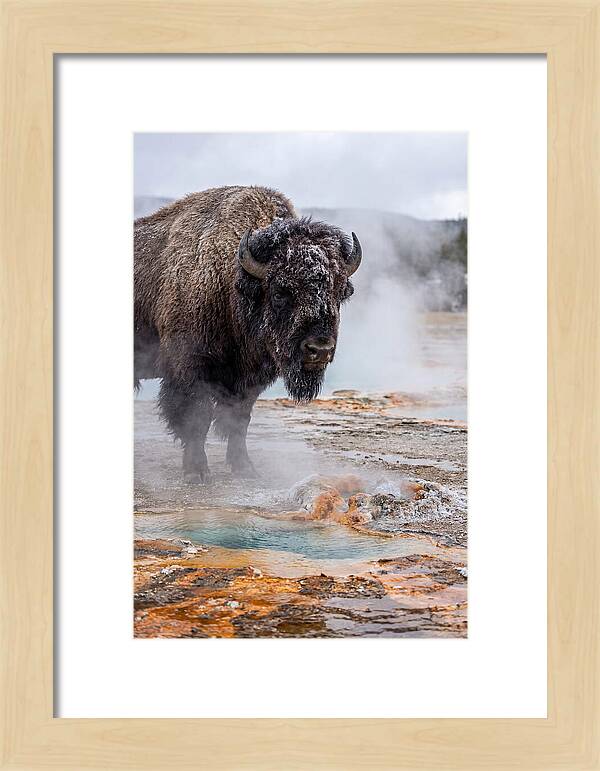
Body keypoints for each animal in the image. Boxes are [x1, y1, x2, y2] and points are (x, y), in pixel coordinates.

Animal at [134, 185, 362, 482]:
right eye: (280, 292)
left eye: (338, 292)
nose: (319, 349)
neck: (231, 282)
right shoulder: (189, 371)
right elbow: (196, 419)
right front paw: (197, 472)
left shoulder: (249, 380)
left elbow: (239, 421)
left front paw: (245, 468)